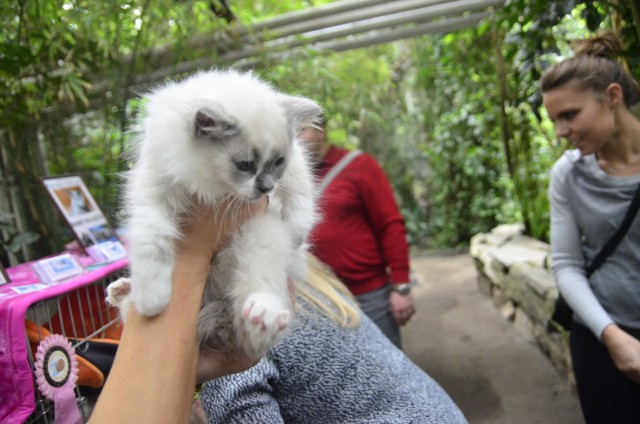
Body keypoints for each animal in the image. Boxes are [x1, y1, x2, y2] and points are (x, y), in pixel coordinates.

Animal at [109, 68, 324, 358]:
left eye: (278, 162)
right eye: (245, 165)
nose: (266, 188)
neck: (213, 182)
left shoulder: (294, 165)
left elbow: (300, 191)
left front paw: (297, 231)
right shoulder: (154, 186)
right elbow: (151, 239)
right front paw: (152, 297)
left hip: (260, 234)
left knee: (256, 315)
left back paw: (263, 316)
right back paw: (122, 290)